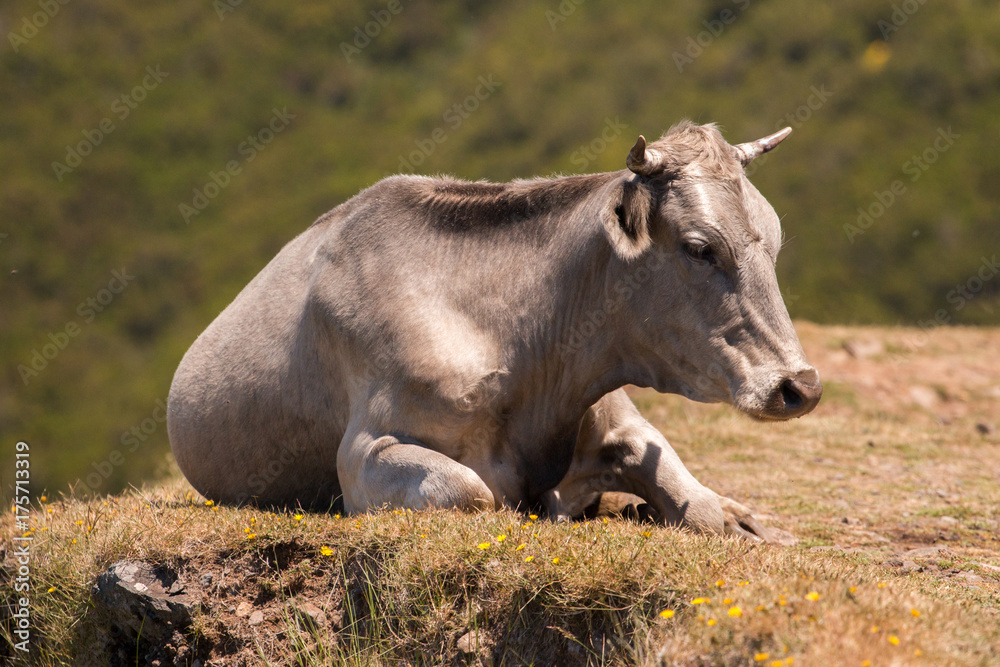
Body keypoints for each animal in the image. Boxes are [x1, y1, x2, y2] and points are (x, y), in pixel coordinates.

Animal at [166, 121, 820, 544]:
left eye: (777, 239)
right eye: (699, 247)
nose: (801, 386)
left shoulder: (613, 412)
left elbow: (684, 487)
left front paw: (733, 516)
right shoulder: (363, 452)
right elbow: (473, 493)